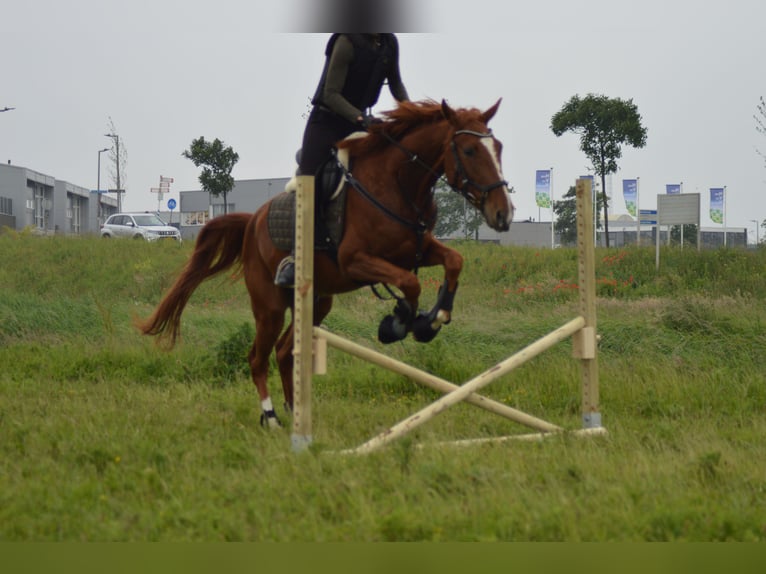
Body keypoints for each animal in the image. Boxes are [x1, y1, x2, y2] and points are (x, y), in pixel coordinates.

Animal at [141, 99, 520, 430]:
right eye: (469, 151)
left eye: (499, 147)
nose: (503, 214)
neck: (397, 184)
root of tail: (252, 221)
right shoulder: (356, 261)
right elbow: (410, 284)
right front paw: (401, 323)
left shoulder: (417, 249)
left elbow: (454, 260)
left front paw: (435, 317)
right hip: (269, 306)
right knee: (257, 358)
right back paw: (272, 418)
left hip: (317, 302)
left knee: (284, 351)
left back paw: (293, 410)